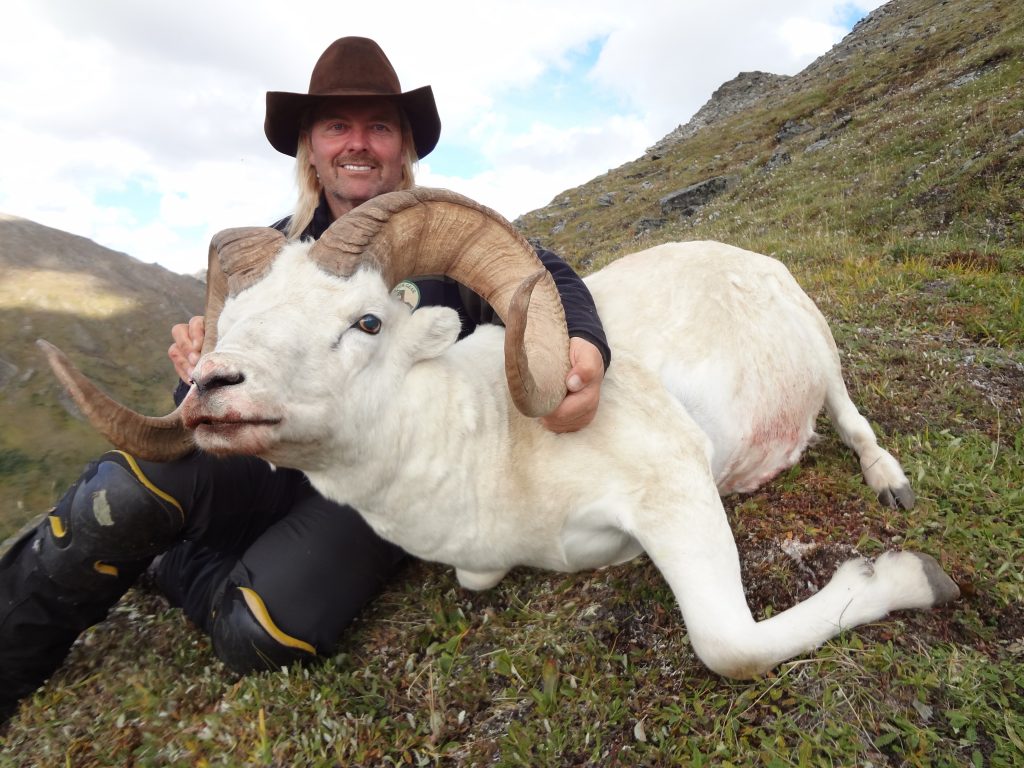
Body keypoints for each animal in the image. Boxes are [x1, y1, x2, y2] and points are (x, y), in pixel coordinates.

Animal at [39, 189, 954, 684]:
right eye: (232, 326)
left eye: (366, 322)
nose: (211, 390)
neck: (487, 447)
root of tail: (741, 254)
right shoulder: (486, 560)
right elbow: (479, 579)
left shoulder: (677, 490)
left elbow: (730, 647)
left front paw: (910, 579)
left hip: (821, 353)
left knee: (853, 418)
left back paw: (890, 482)